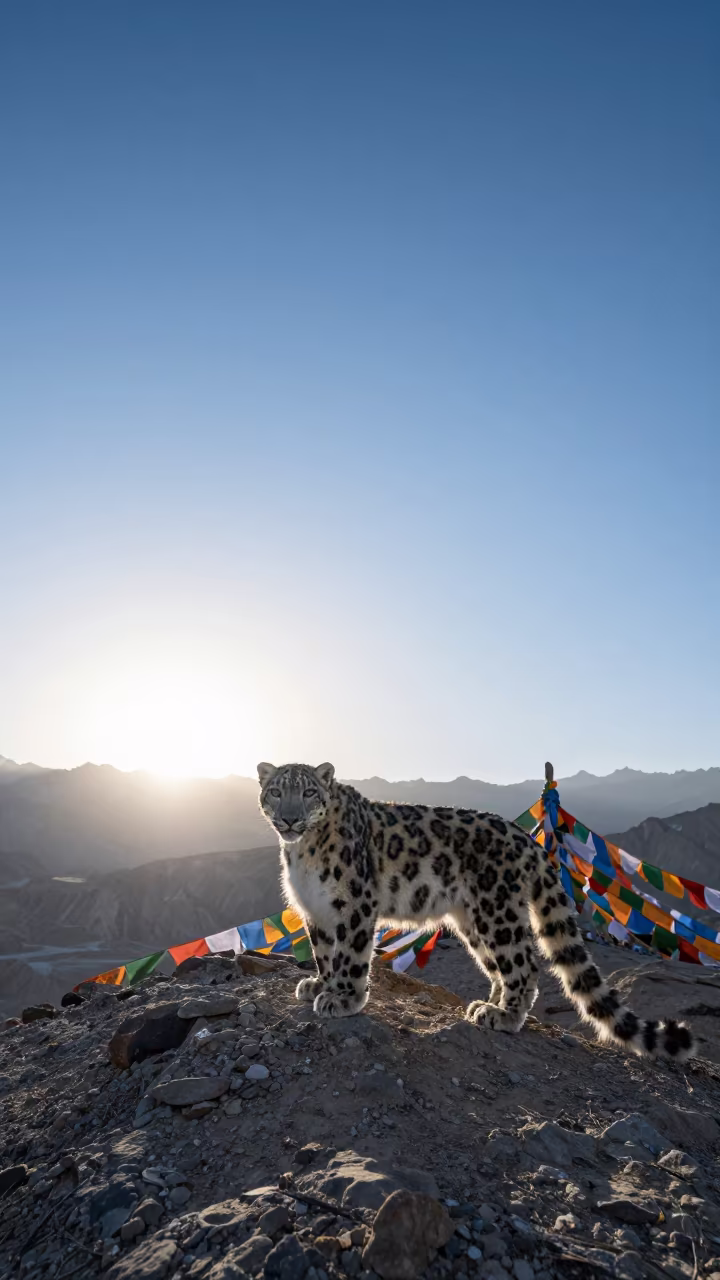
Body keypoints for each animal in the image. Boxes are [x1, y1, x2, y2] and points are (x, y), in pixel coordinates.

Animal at [257, 760, 694, 1060]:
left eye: (309, 792)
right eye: (276, 792)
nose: (290, 818)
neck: (302, 851)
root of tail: (526, 841)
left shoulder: (355, 903)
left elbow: (349, 955)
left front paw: (343, 998)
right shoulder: (315, 910)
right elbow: (324, 952)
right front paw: (320, 985)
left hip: (497, 911)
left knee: (524, 965)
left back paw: (505, 1016)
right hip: (474, 921)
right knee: (500, 966)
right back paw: (489, 1005)